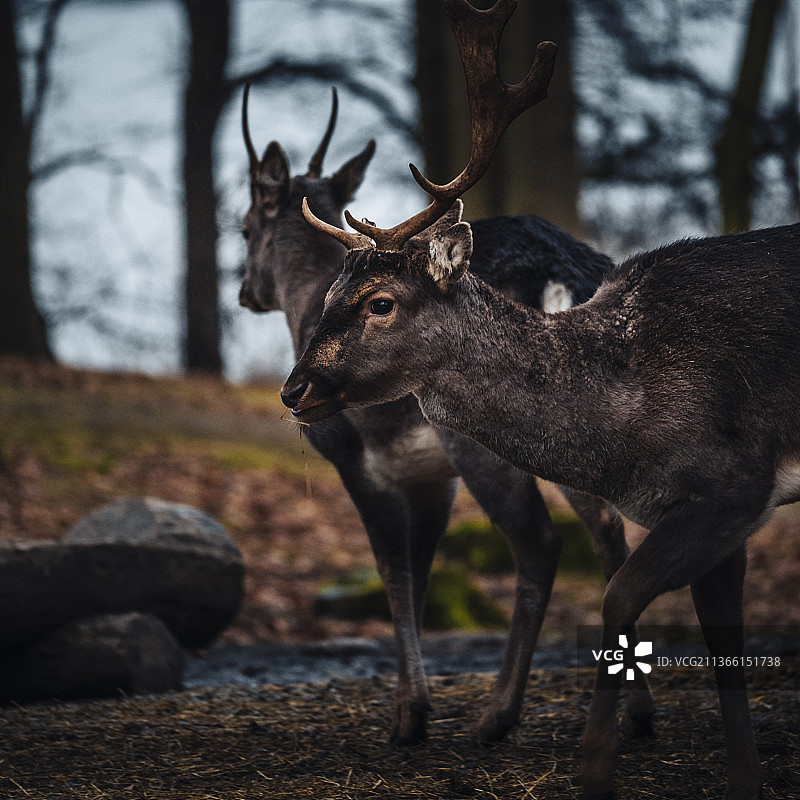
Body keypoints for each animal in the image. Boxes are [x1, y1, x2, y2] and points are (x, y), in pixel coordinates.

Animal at [238, 2, 656, 750]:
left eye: (242, 228)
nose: (242, 291)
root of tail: (565, 270)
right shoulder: (432, 475)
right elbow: (423, 570)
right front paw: (416, 702)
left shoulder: (354, 455)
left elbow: (392, 567)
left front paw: (409, 713)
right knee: (609, 533)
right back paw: (634, 713)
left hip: (484, 436)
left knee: (540, 543)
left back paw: (498, 714)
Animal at [283, 1, 800, 797]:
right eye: (331, 291)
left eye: (379, 302)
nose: (293, 388)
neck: (623, 426)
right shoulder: (722, 516)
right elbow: (722, 643)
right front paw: (743, 778)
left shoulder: (734, 484)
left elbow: (617, 596)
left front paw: (596, 765)